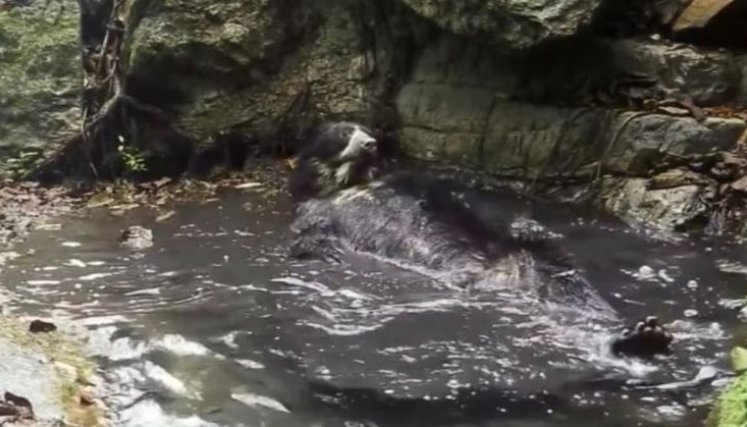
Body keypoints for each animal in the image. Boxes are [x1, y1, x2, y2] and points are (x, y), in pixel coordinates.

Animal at [288, 121, 673, 359]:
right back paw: (638, 339)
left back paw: (640, 336)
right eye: (343, 133)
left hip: (539, 263)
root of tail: (508, 284)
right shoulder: (319, 210)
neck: (354, 182)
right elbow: (311, 235)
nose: (370, 143)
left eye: (369, 133)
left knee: (576, 290)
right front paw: (321, 253)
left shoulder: (410, 183)